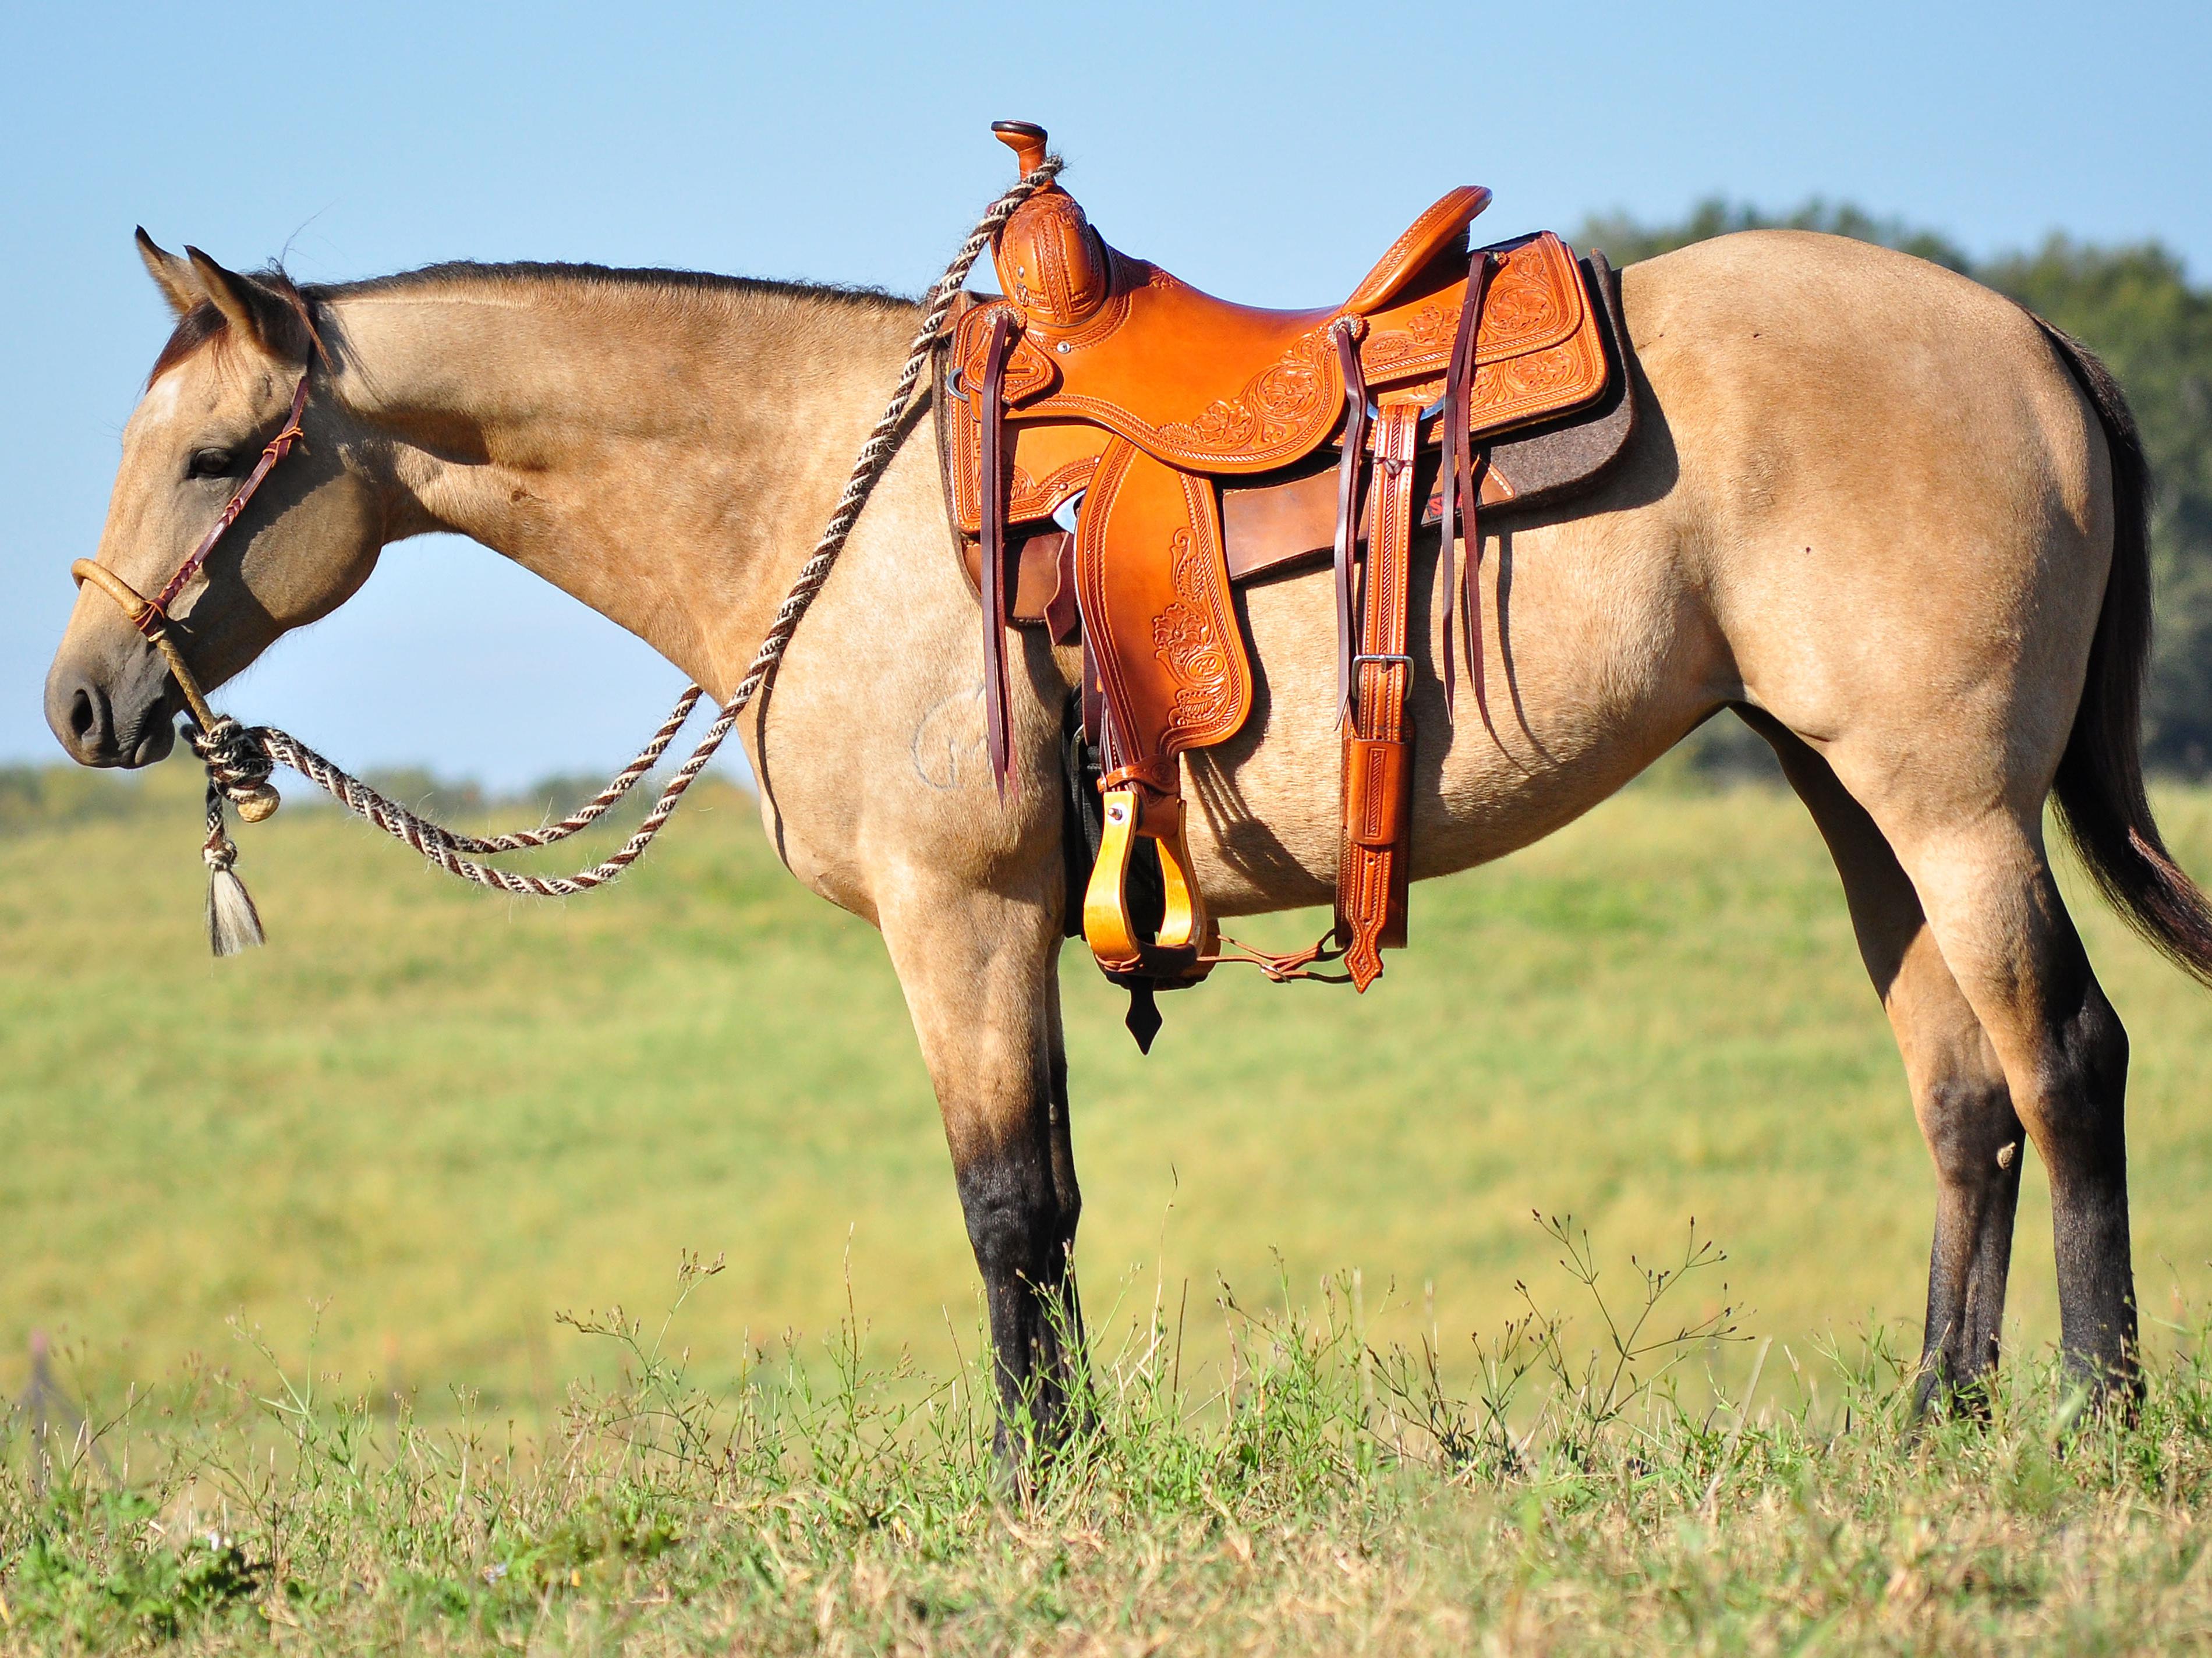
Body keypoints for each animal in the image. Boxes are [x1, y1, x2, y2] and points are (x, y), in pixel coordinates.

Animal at [47, 126, 2212, 1450]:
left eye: (219, 450)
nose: (80, 700)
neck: (811, 491)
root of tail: (2029, 332)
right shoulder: (1024, 914)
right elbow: (1055, 1197)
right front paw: (1073, 1453)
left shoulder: (956, 915)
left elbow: (1002, 1200)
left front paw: (1031, 1478)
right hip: (1855, 803)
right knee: (1960, 1096)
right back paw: (1931, 1420)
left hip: (1948, 803)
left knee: (2067, 1059)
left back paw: (2091, 1417)